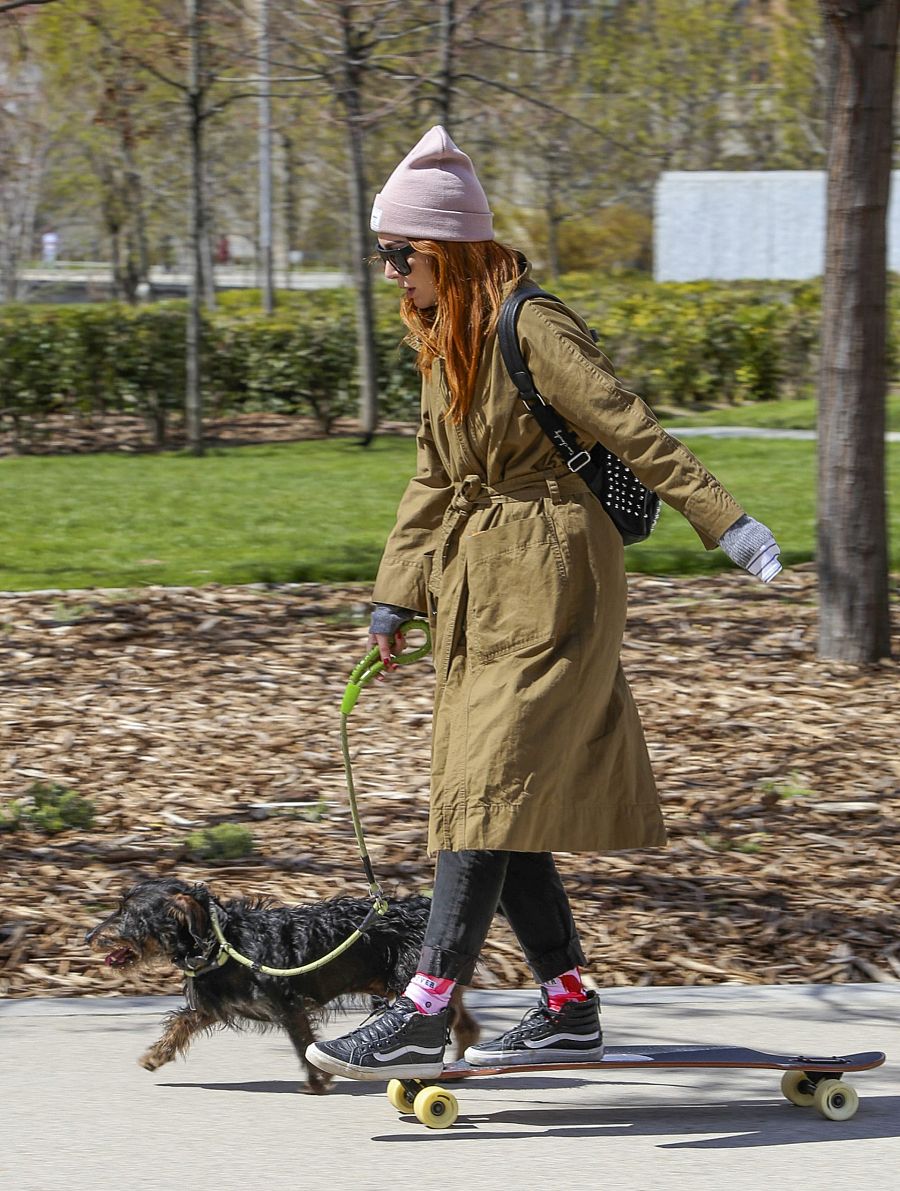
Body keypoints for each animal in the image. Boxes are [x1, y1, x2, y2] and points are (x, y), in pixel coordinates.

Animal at [86, 871, 478, 1090]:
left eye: (128, 913)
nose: (90, 935)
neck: (225, 941)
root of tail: (423, 908)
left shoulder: (288, 1005)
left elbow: (302, 1043)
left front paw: (317, 1083)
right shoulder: (215, 1004)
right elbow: (182, 1022)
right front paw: (156, 1054)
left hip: (403, 978)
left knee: (449, 1017)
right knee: (465, 1022)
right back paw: (460, 1063)